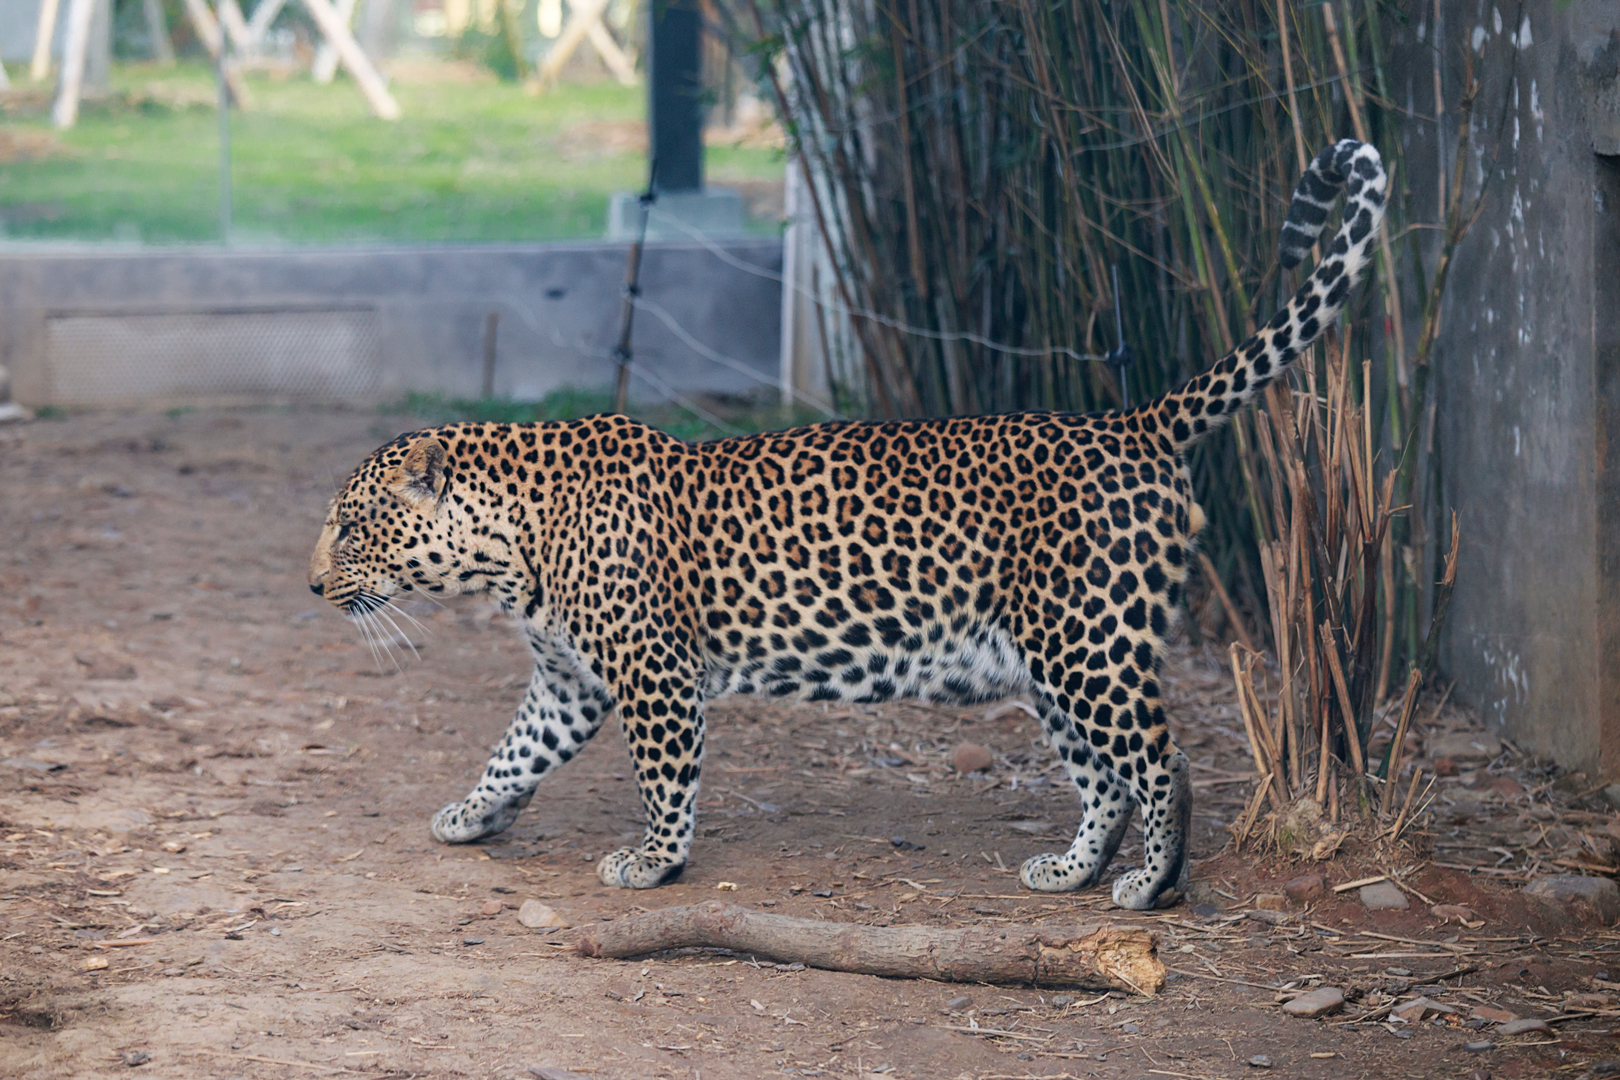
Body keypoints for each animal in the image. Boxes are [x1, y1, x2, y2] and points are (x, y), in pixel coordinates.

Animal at [307, 139, 1385, 910]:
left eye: (352, 528)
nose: (313, 586)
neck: (509, 547)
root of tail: (1133, 421)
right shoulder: (567, 680)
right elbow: (514, 751)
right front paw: (469, 815)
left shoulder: (654, 673)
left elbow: (665, 777)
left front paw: (653, 863)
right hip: (1047, 655)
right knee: (1104, 778)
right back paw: (1071, 872)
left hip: (1089, 641)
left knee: (1162, 764)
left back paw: (1152, 888)